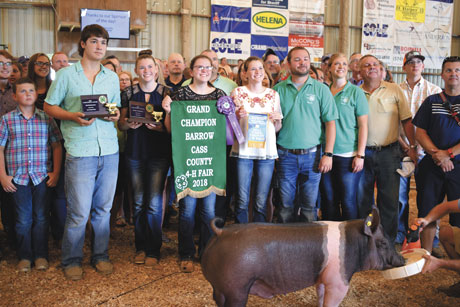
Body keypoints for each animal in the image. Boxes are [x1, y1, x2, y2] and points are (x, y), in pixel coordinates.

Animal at [200, 208, 402, 306]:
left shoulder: (323, 279)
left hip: (219, 288)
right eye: (383, 243)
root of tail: (221, 232)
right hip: (237, 289)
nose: (402, 259)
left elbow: (320, 297)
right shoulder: (339, 281)